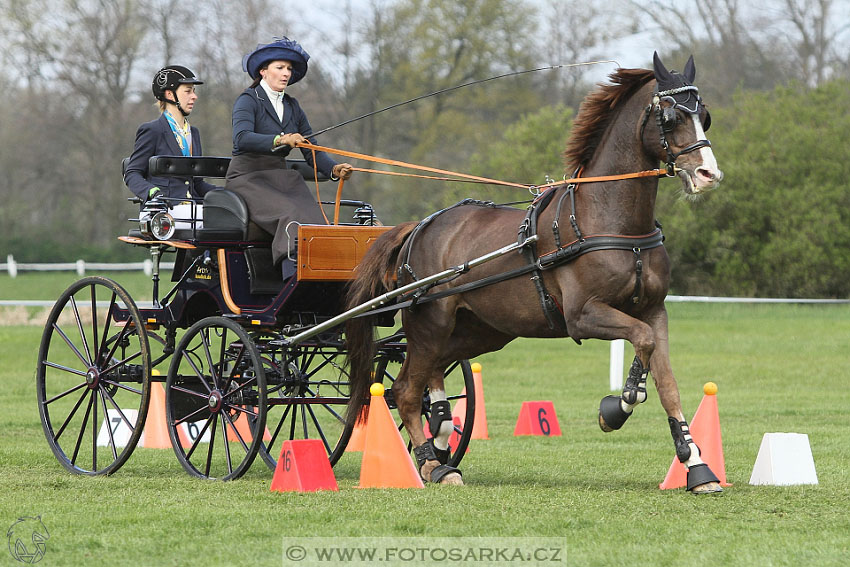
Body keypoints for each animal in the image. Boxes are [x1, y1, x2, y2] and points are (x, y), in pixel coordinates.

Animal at [344, 55, 724, 494]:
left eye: (705, 116)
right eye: (672, 116)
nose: (709, 175)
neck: (610, 223)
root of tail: (420, 226)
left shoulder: (654, 310)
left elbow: (667, 383)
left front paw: (697, 466)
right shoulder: (583, 315)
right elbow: (642, 345)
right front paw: (618, 406)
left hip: (481, 329)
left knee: (433, 372)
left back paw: (439, 434)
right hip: (430, 322)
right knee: (405, 390)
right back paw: (433, 464)